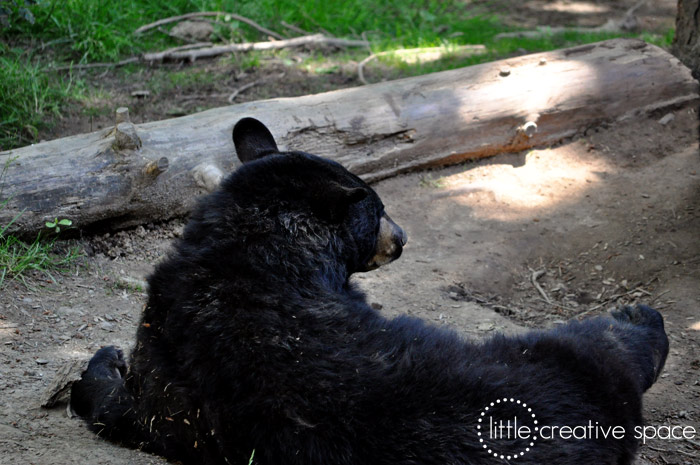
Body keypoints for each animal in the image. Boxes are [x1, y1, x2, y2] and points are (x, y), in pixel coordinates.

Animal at [71, 118, 668, 464]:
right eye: (378, 210)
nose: (402, 238)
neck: (254, 253)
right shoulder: (172, 364)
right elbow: (125, 407)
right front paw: (101, 362)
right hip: (563, 358)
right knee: (614, 349)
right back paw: (642, 320)